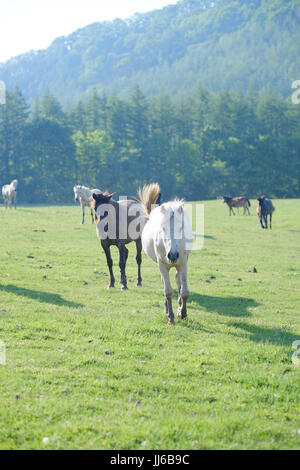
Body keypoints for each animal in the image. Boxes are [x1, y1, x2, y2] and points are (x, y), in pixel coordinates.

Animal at [138, 183, 192, 324]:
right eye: (163, 228)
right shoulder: (162, 265)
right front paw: (170, 317)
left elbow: (184, 291)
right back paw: (168, 309)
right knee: (165, 283)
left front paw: (183, 313)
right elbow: (168, 291)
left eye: (181, 228)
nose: (172, 255)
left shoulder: (183, 264)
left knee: (178, 281)